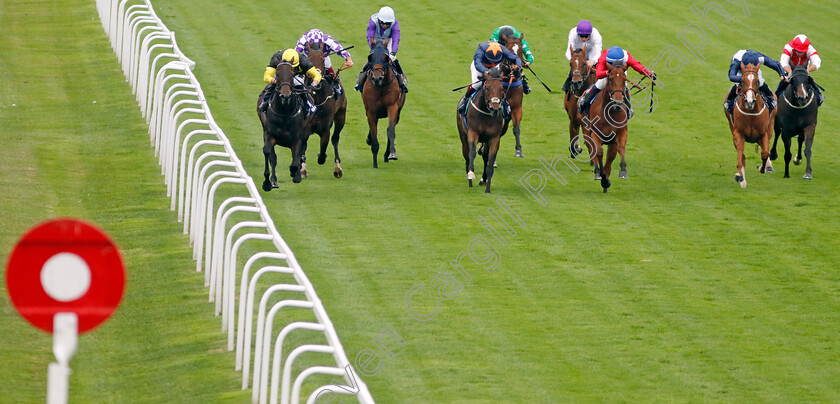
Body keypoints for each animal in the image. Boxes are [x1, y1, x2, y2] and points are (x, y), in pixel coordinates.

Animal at [300, 42, 346, 178]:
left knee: (335, 139)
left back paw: (337, 168)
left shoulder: (325, 130)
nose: (316, 75)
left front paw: (322, 155)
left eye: (322, 59)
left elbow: (322, 154)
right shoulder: (304, 130)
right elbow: (302, 148)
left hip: (341, 116)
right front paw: (302, 169)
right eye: (309, 58)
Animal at [360, 39, 406, 167]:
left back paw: (387, 155)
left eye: (386, 58)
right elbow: (374, 133)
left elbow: (390, 130)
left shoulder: (392, 107)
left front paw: (392, 154)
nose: (377, 78)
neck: (380, 87)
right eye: (370, 57)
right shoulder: (371, 111)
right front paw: (375, 164)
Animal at [584, 64, 632, 194]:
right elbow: (599, 152)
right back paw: (599, 175)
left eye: (624, 79)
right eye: (610, 79)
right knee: (593, 150)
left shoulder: (620, 133)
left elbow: (620, 149)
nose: (617, 102)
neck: (610, 112)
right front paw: (603, 178)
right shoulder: (595, 134)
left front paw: (623, 171)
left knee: (610, 157)